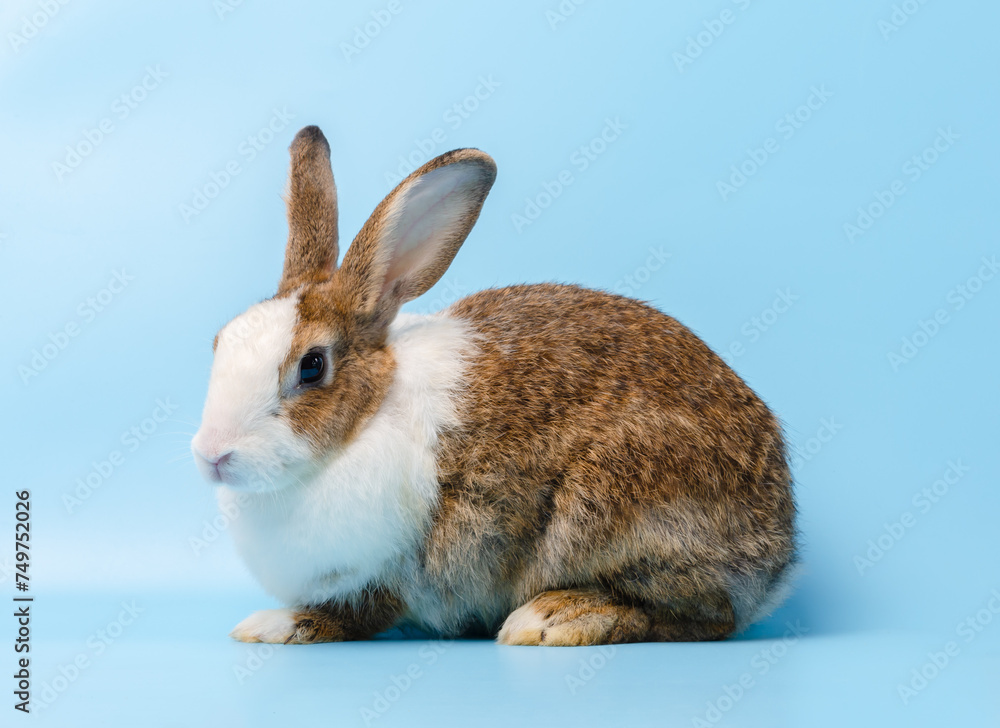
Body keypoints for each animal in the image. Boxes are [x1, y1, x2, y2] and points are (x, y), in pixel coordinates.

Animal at [190, 125, 797, 646]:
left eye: (312, 366)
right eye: (219, 341)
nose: (213, 455)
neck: (362, 424)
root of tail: (779, 549)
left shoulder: (388, 574)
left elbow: (353, 615)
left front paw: (275, 625)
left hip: (614, 505)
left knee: (702, 616)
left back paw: (555, 617)